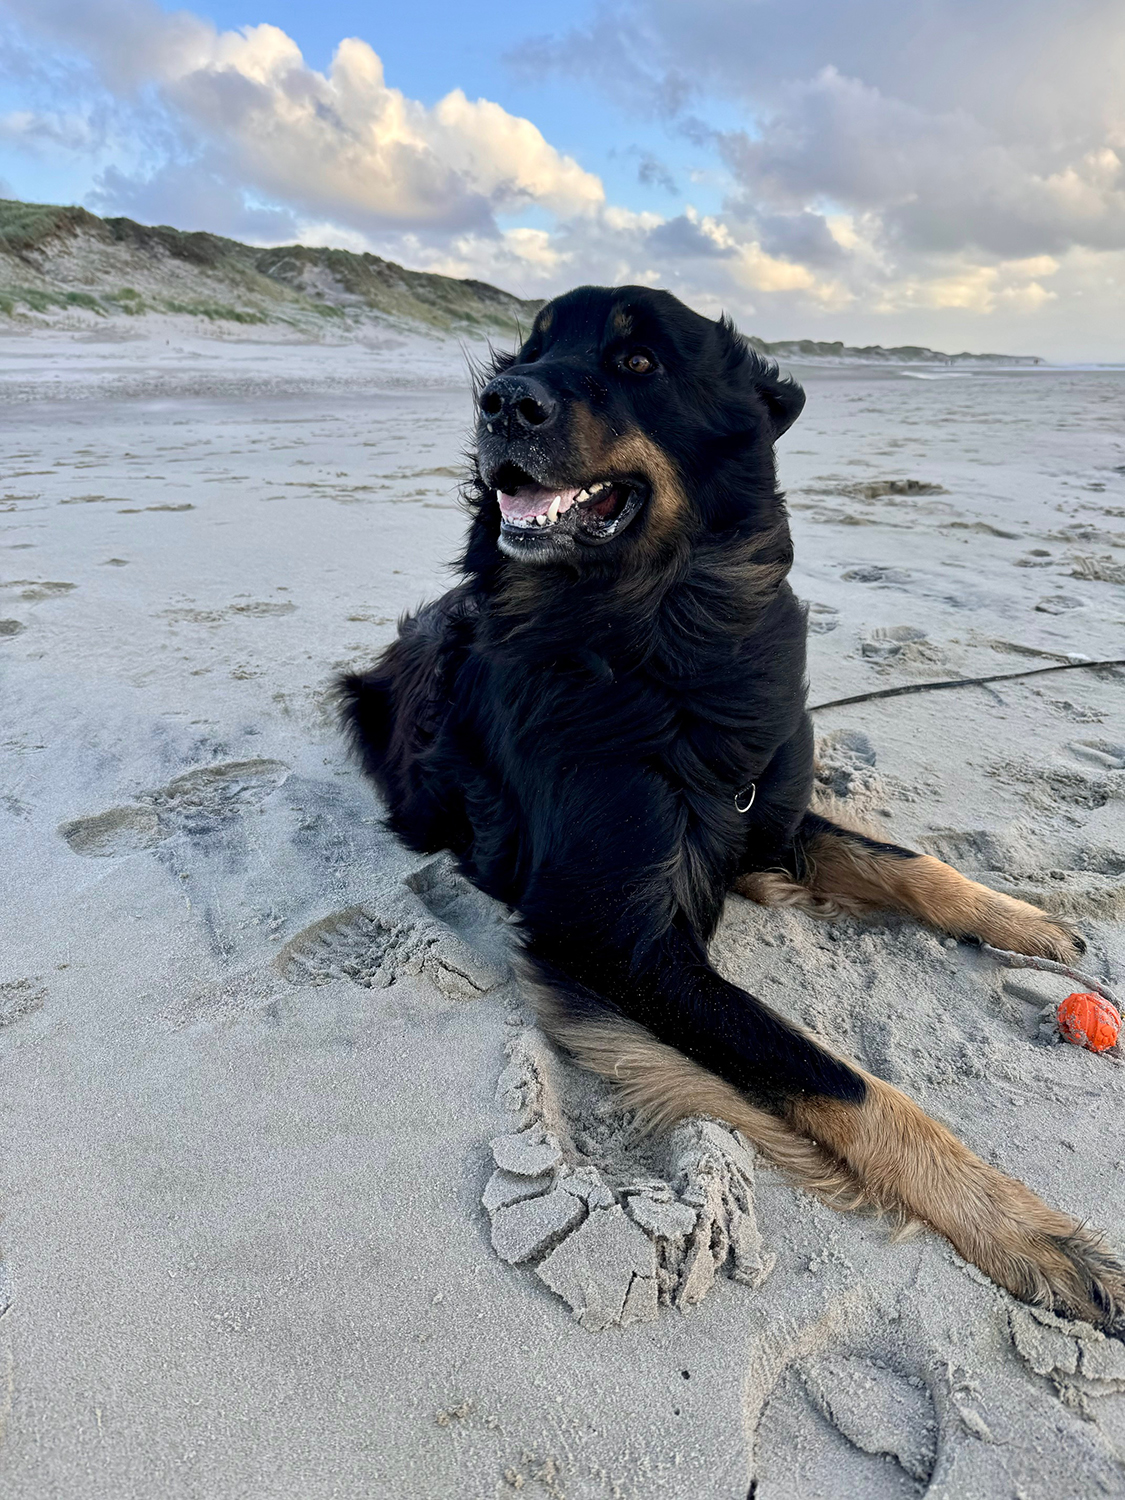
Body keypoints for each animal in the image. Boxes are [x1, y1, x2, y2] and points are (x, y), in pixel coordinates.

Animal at [339, 284, 1124, 1334]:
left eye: (638, 362)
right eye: (534, 347)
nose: (501, 403)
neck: (664, 635)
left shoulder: (766, 814)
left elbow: (906, 863)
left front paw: (1024, 923)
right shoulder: (613, 941)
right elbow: (835, 1078)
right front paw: (1032, 1231)